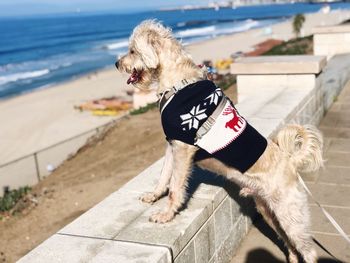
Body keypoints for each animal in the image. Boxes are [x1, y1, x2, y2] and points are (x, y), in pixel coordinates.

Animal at [116, 20, 324, 263]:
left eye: (132, 50)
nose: (117, 63)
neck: (178, 82)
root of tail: (291, 162)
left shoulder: (183, 149)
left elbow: (175, 187)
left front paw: (166, 215)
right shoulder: (172, 144)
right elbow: (164, 177)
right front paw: (154, 196)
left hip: (291, 214)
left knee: (307, 249)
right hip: (269, 210)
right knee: (288, 242)